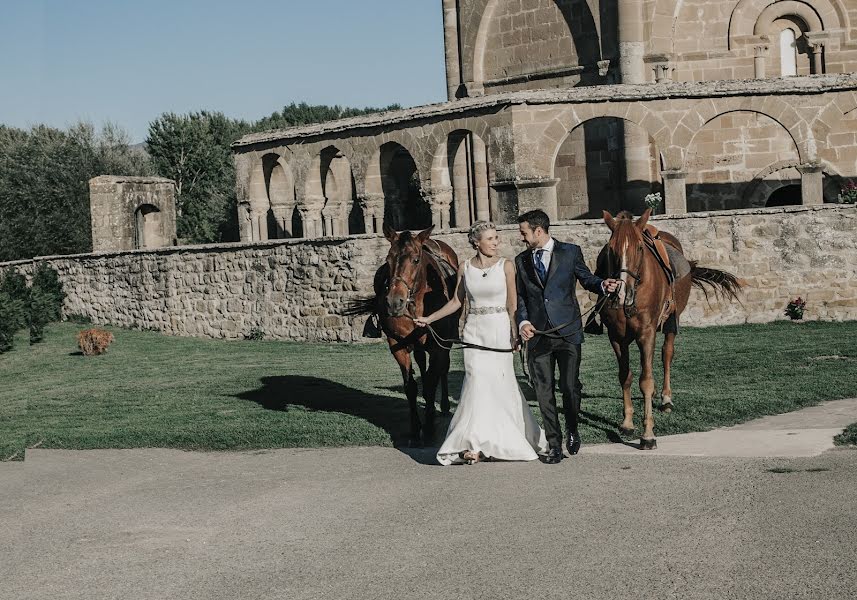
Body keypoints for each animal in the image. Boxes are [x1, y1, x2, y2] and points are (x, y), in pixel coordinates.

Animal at [346, 223, 458, 442]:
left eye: (415, 259)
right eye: (388, 259)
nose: (393, 301)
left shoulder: (438, 346)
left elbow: (431, 381)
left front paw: (429, 428)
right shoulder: (397, 344)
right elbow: (411, 386)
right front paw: (416, 429)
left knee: (442, 369)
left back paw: (444, 406)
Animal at [600, 209, 740, 448]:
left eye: (639, 247)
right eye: (611, 248)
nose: (622, 292)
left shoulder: (647, 332)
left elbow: (646, 381)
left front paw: (648, 434)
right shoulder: (616, 336)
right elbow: (625, 376)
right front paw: (627, 423)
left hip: (671, 322)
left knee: (666, 354)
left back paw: (666, 398)